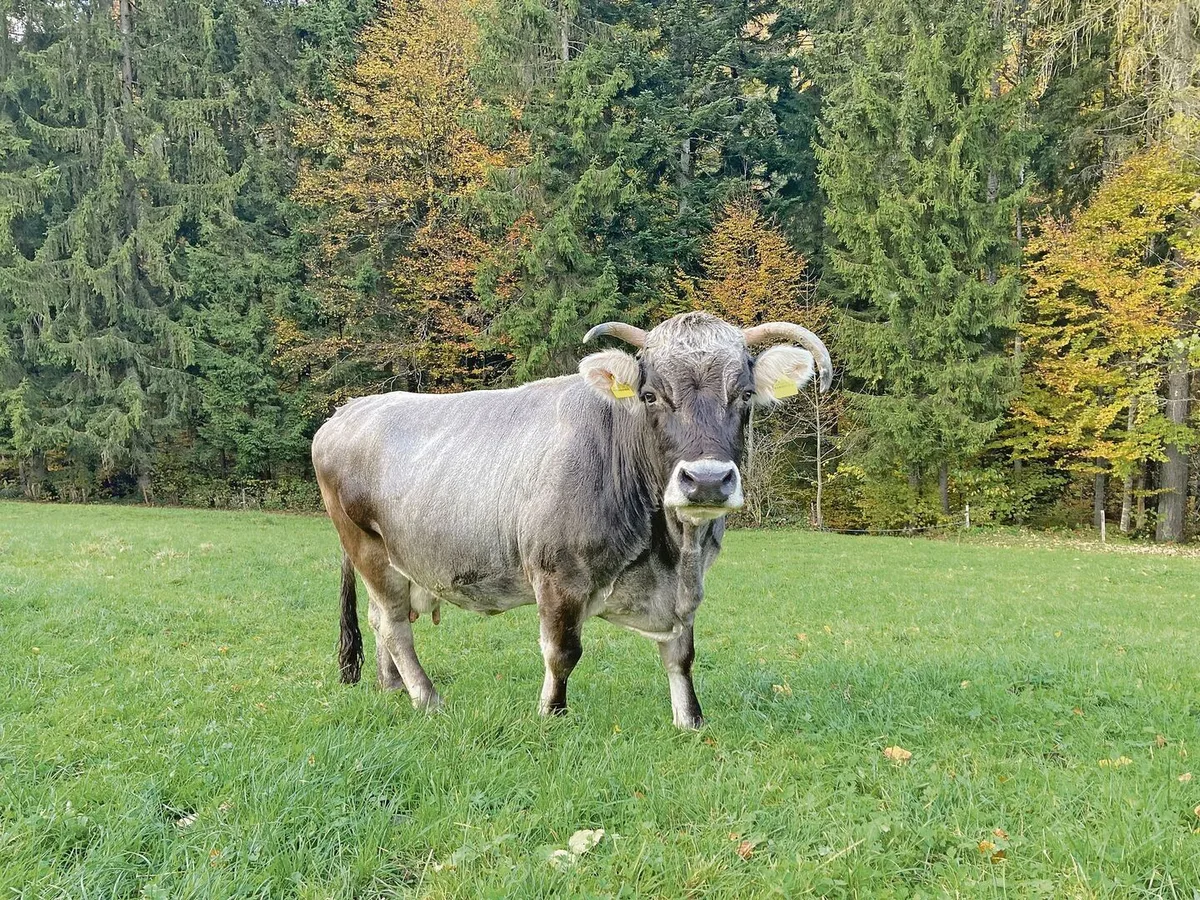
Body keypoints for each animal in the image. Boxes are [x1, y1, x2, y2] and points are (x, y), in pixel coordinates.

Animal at [311, 312, 832, 728]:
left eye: (744, 394)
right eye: (649, 395)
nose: (706, 480)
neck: (671, 550)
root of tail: (349, 409)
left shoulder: (687, 587)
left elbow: (681, 655)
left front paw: (690, 720)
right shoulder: (557, 576)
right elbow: (562, 652)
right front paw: (551, 714)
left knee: (380, 618)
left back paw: (393, 688)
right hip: (366, 547)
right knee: (394, 624)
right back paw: (427, 698)